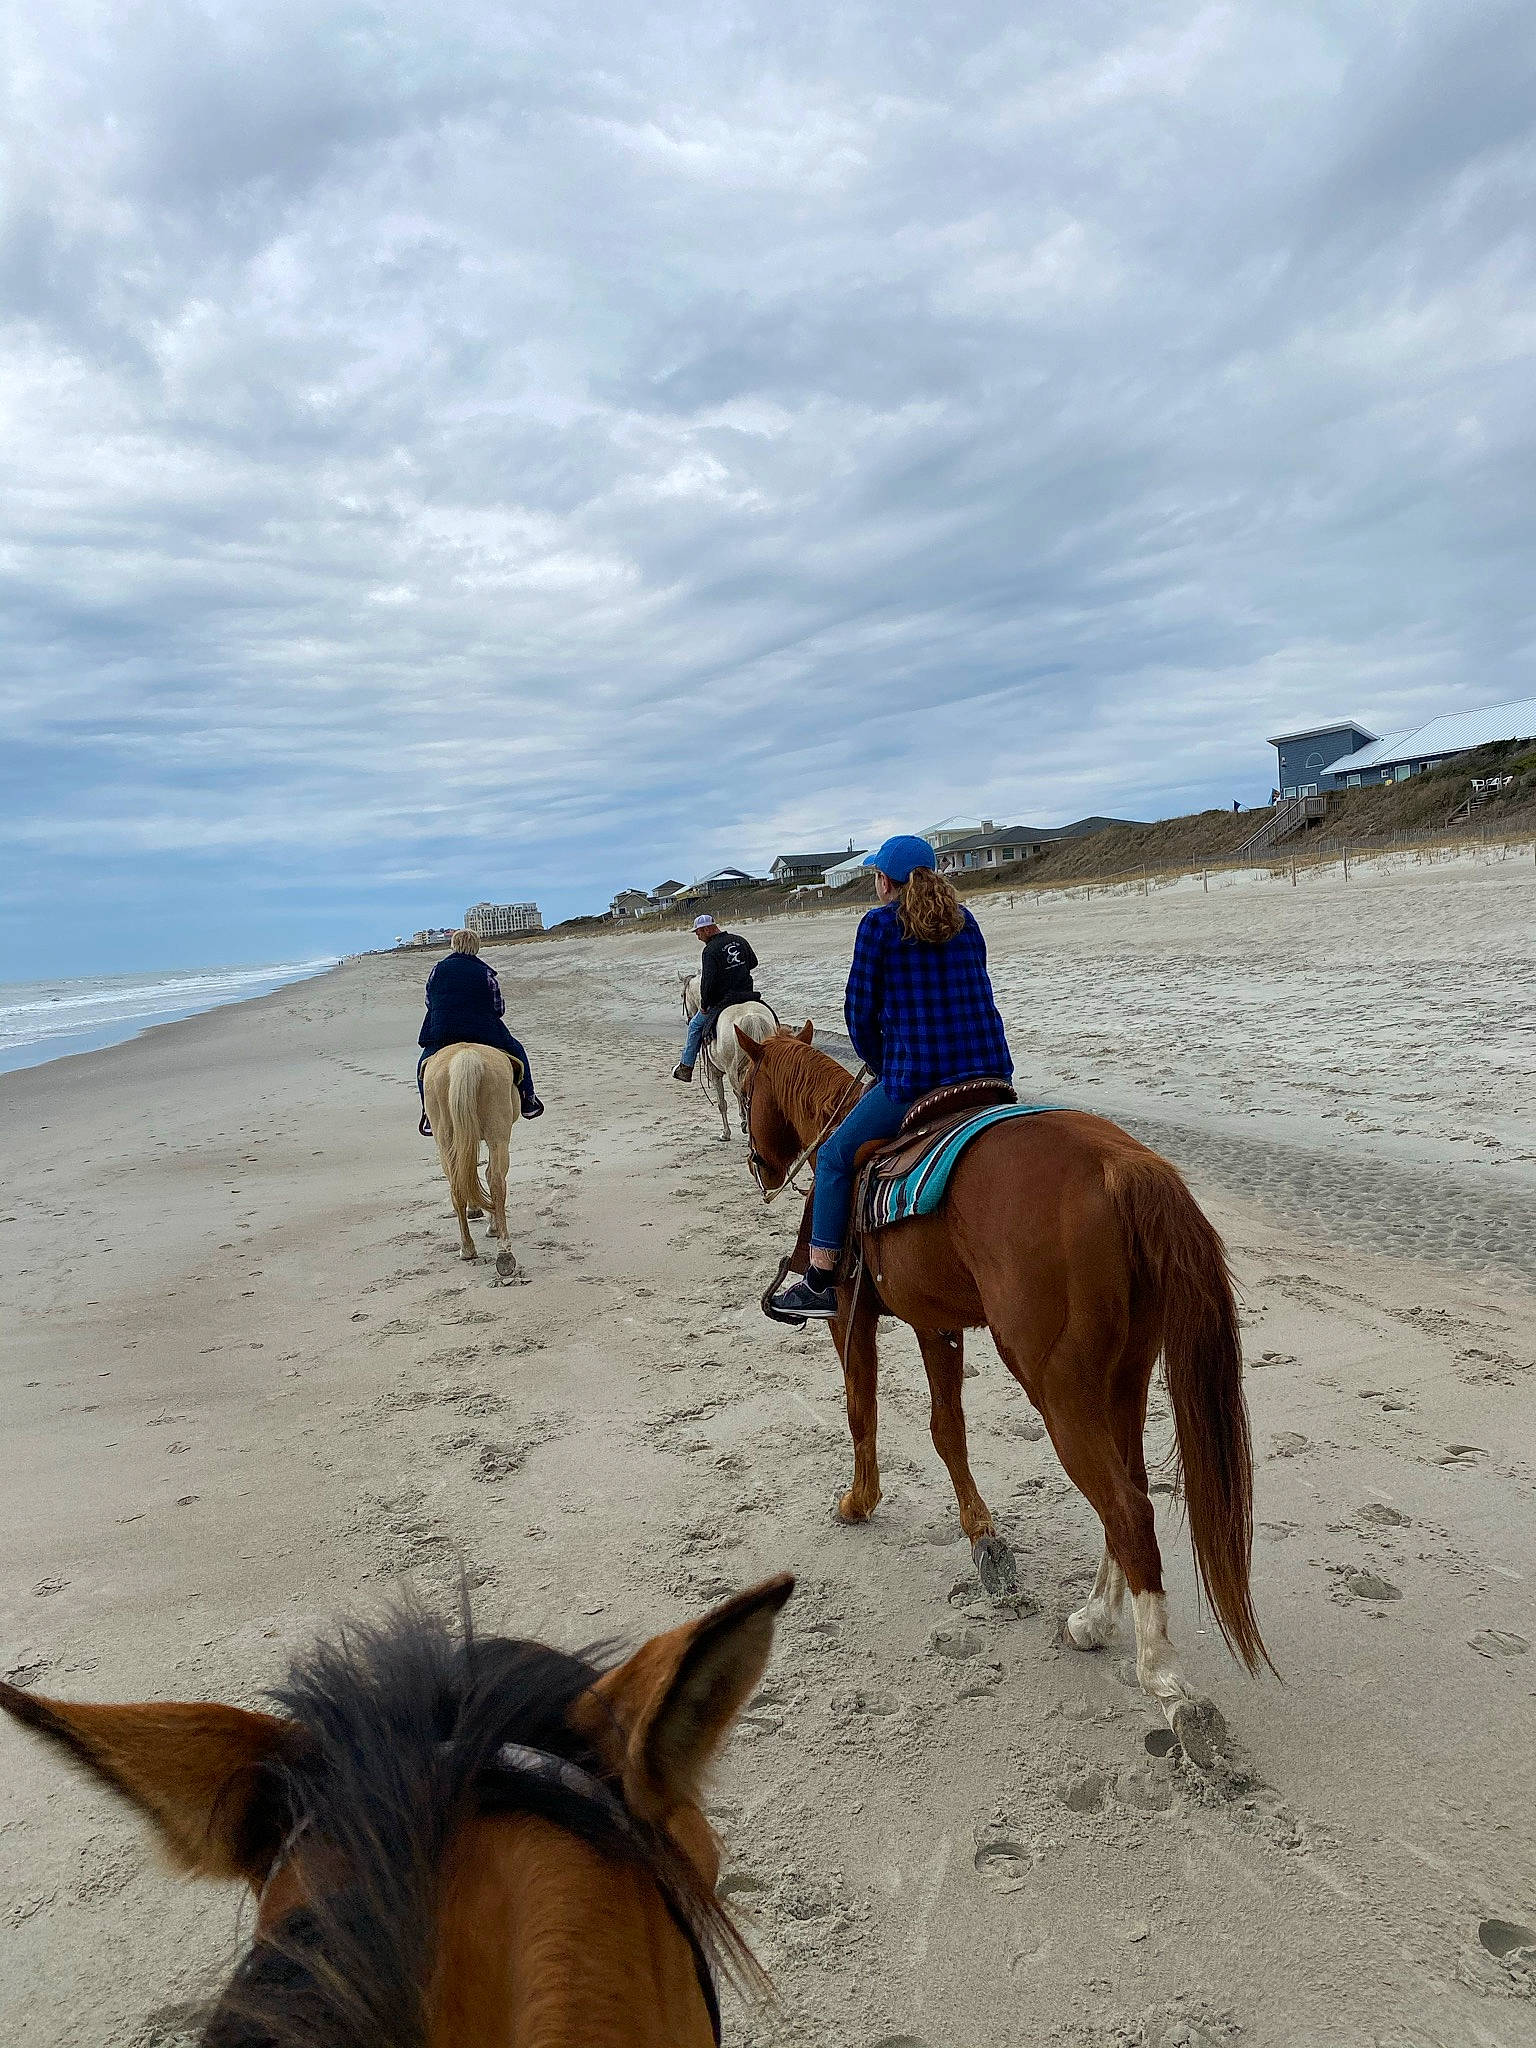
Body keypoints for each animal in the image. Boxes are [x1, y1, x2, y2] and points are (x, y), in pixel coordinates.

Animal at [422, 1042, 519, 1271]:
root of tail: (464, 1054)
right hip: (496, 1137)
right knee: (492, 1180)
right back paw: (498, 1249)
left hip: (451, 1140)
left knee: (466, 1185)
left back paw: (473, 1247)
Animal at [678, 974, 775, 1142]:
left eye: (683, 995)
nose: (688, 1020)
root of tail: (752, 1018)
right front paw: (743, 1121)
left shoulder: (715, 1072)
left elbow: (722, 1102)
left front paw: (726, 1133)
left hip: (732, 1070)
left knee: (745, 1096)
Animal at [736, 1023, 1269, 1761]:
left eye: (744, 1088)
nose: (758, 1166)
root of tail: (1122, 1166)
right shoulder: (936, 1324)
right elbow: (948, 1428)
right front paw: (982, 1536)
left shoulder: (849, 1312)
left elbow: (861, 1407)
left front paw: (860, 1500)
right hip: (1122, 1377)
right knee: (1127, 1495)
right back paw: (1094, 1621)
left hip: (1058, 1388)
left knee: (1128, 1510)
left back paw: (1165, 1681)